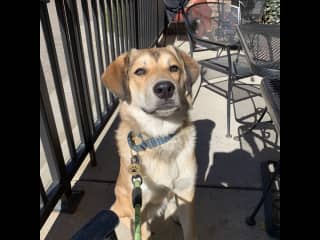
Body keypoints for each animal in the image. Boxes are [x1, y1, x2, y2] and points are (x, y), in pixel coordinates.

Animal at [101, 45, 199, 240]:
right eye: (140, 71)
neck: (160, 136)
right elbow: (143, 230)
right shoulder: (139, 205)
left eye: (174, 68)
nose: (165, 88)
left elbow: (190, 231)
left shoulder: (186, 190)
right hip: (122, 204)